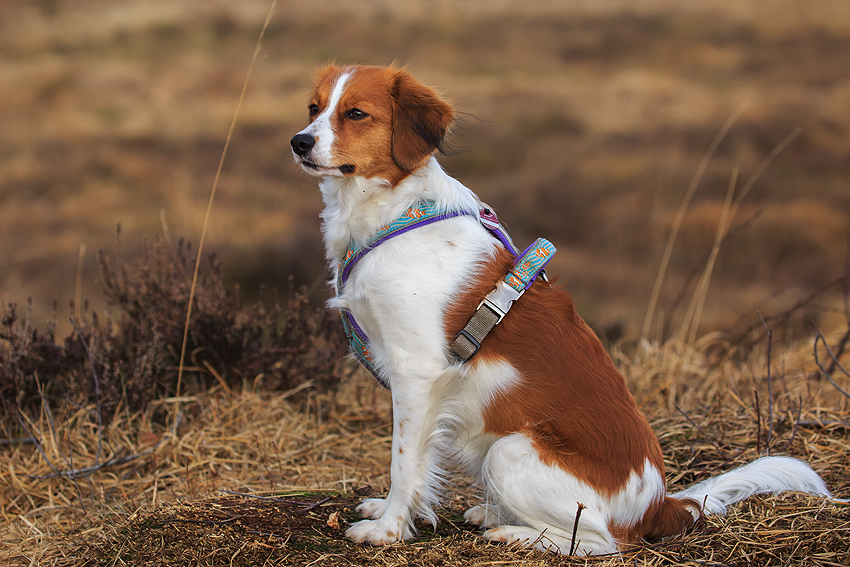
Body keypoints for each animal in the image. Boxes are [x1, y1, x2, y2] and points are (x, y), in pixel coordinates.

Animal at [290, 63, 828, 556]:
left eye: (356, 113)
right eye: (314, 108)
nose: (299, 142)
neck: (394, 214)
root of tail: (660, 505)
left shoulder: (417, 373)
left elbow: (404, 460)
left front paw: (388, 529)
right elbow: (416, 463)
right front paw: (388, 512)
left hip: (509, 451)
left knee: (599, 542)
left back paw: (514, 533)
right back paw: (497, 514)